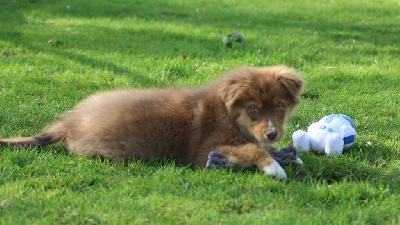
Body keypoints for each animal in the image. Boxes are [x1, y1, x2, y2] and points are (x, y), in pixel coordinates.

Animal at [0, 65, 304, 179]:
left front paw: (284, 154)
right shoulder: (204, 151)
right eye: (253, 109)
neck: (228, 113)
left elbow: (256, 145)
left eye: (279, 107)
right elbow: (251, 149)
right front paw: (273, 166)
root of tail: (69, 124)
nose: (273, 134)